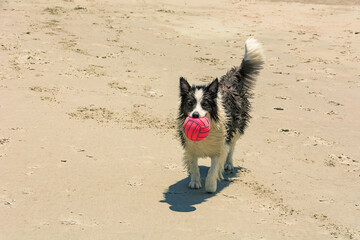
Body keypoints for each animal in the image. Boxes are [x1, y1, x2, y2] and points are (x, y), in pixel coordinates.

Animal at [177, 38, 264, 194]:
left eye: (205, 104)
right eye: (190, 103)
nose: (195, 115)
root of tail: (231, 79)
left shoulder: (220, 146)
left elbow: (213, 168)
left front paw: (211, 186)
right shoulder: (190, 147)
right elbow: (193, 164)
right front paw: (195, 182)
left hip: (236, 127)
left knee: (232, 146)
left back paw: (229, 164)